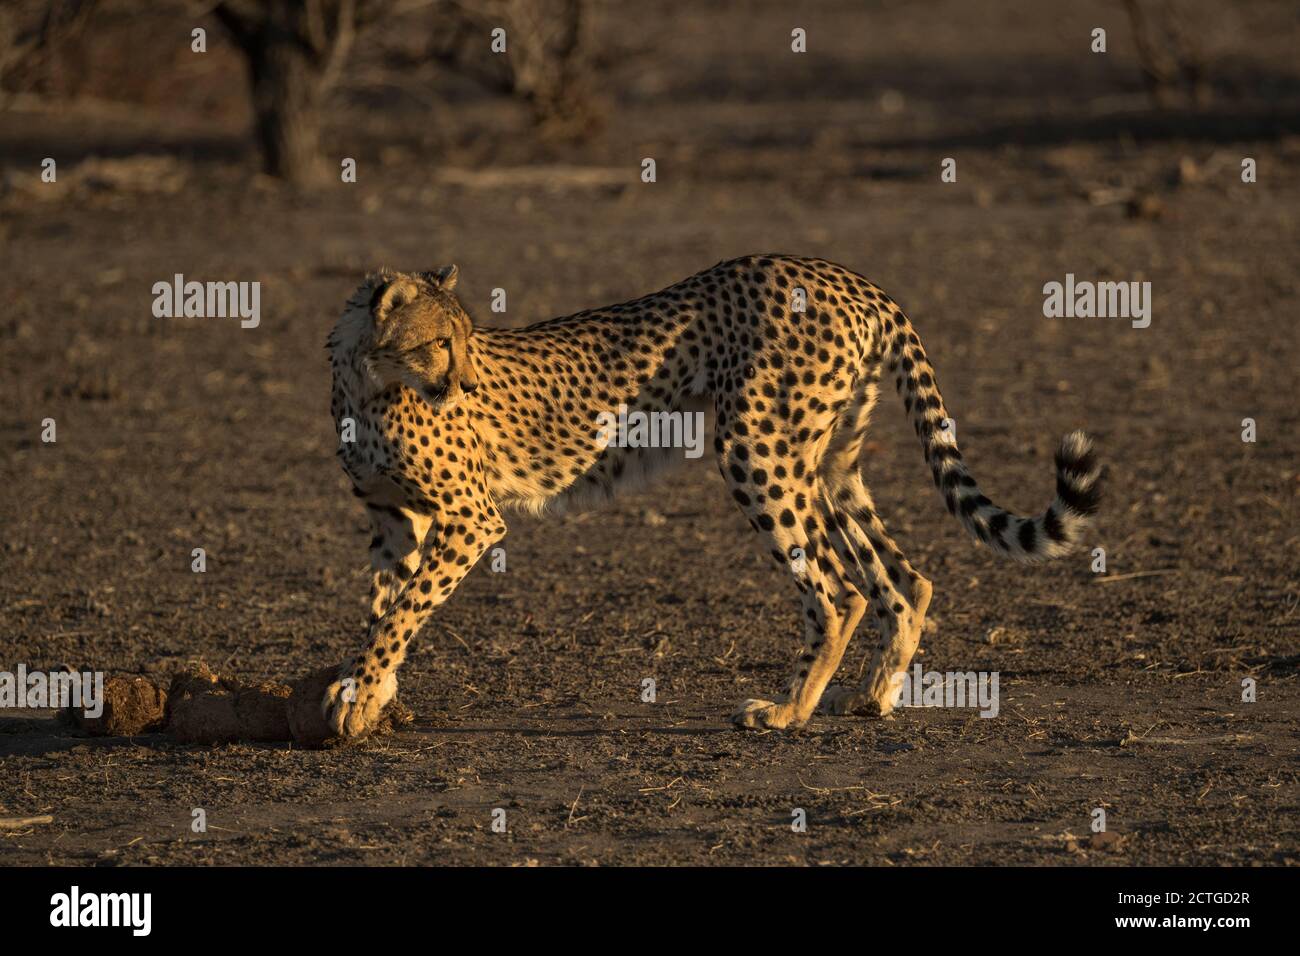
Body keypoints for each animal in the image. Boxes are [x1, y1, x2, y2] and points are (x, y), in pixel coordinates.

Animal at [322, 257, 1097, 738]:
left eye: (465, 340)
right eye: (438, 342)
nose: (465, 384)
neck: (369, 382)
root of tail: (845, 275)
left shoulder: (469, 519)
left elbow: (402, 612)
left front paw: (356, 697)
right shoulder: (395, 521)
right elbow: (385, 608)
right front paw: (369, 693)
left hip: (756, 451)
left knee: (839, 591)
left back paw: (787, 711)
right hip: (829, 465)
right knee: (906, 578)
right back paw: (874, 696)